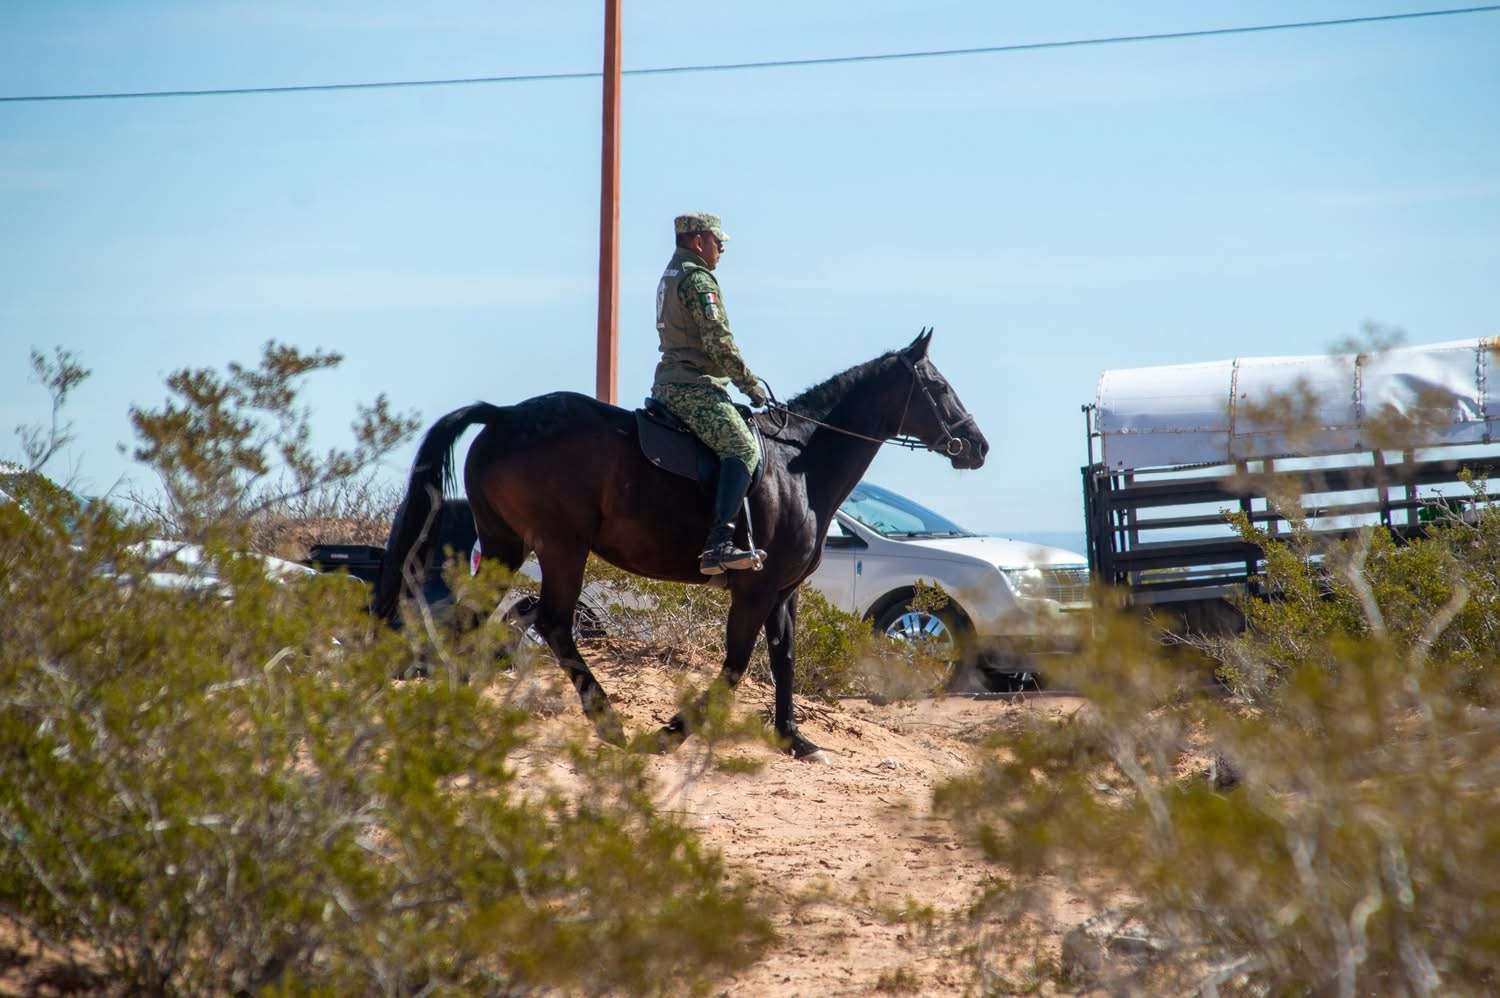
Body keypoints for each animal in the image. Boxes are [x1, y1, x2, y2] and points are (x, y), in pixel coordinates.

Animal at [373, 329, 988, 759]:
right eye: (937, 387)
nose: (977, 446)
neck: (798, 464)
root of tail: (502, 417)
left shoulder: (783, 590)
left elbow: (784, 657)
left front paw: (794, 739)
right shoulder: (755, 589)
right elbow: (737, 663)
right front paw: (673, 732)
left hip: (506, 544)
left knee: (470, 619)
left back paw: (459, 708)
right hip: (561, 547)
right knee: (551, 623)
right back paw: (609, 722)